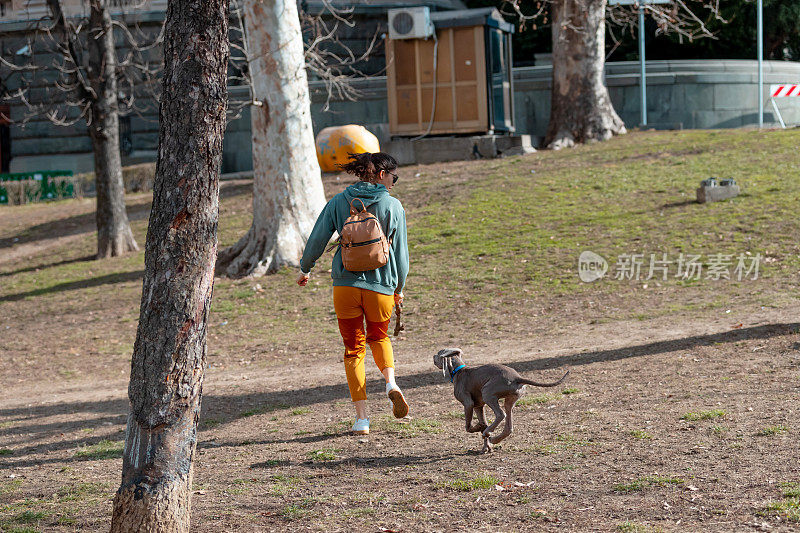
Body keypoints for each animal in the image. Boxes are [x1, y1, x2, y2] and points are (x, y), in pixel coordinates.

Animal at [434, 350, 572, 454]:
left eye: (439, 353)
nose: (433, 356)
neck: (458, 371)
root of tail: (517, 377)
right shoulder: (479, 406)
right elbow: (483, 422)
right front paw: (486, 445)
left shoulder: (469, 404)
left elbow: (468, 427)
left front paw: (481, 429)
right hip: (510, 399)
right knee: (508, 426)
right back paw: (494, 438)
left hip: (487, 392)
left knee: (501, 414)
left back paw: (489, 432)